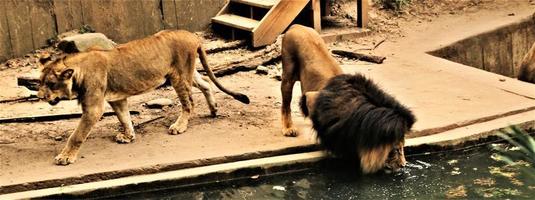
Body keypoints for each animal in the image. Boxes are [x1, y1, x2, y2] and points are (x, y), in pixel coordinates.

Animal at [37, 29, 251, 164]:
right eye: (40, 81)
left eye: (51, 84)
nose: (40, 96)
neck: (78, 71)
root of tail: (192, 35)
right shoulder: (117, 99)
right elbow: (124, 117)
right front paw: (128, 136)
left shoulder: (93, 108)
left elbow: (77, 135)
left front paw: (65, 157)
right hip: (187, 73)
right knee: (206, 83)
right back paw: (214, 109)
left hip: (179, 76)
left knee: (189, 102)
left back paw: (179, 126)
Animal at [282, 24, 416, 173]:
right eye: (396, 149)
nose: (403, 165)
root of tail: (296, 26)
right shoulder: (313, 98)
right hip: (288, 74)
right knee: (286, 104)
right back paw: (288, 128)